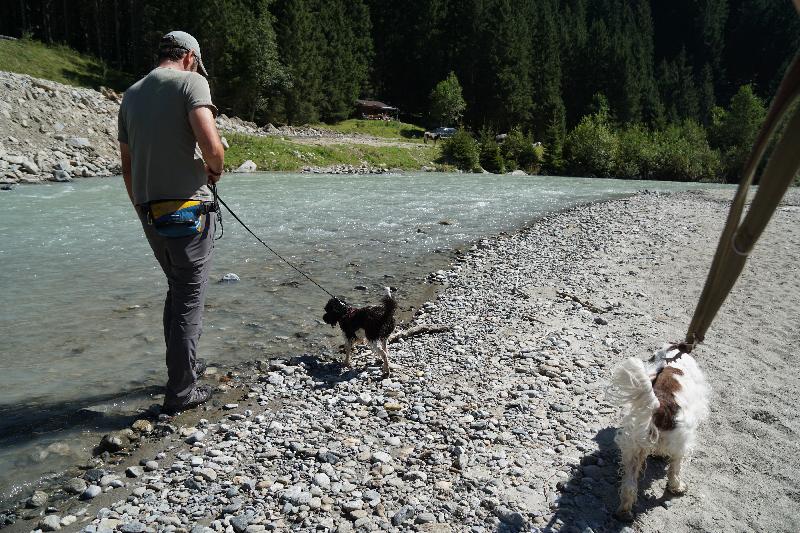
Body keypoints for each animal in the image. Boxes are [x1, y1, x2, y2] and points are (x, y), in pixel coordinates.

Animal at [608, 343, 710, 521]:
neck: (671, 356)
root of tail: (659, 407)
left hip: (632, 447)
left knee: (629, 485)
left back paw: (624, 511)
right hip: (681, 445)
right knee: (674, 470)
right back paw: (677, 487)